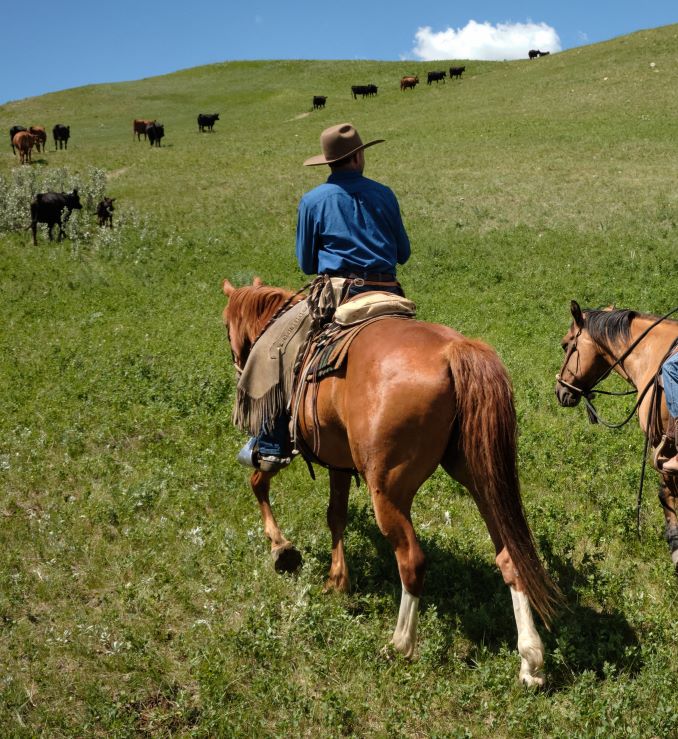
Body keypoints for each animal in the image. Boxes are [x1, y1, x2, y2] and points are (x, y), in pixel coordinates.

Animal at [223, 278, 564, 688]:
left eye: (226, 327)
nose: (237, 361)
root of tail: (455, 350)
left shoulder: (280, 443)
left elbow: (258, 481)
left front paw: (282, 548)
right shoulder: (339, 463)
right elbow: (336, 516)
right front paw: (337, 580)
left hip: (386, 490)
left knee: (412, 561)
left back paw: (400, 644)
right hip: (482, 479)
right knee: (511, 556)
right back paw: (530, 661)